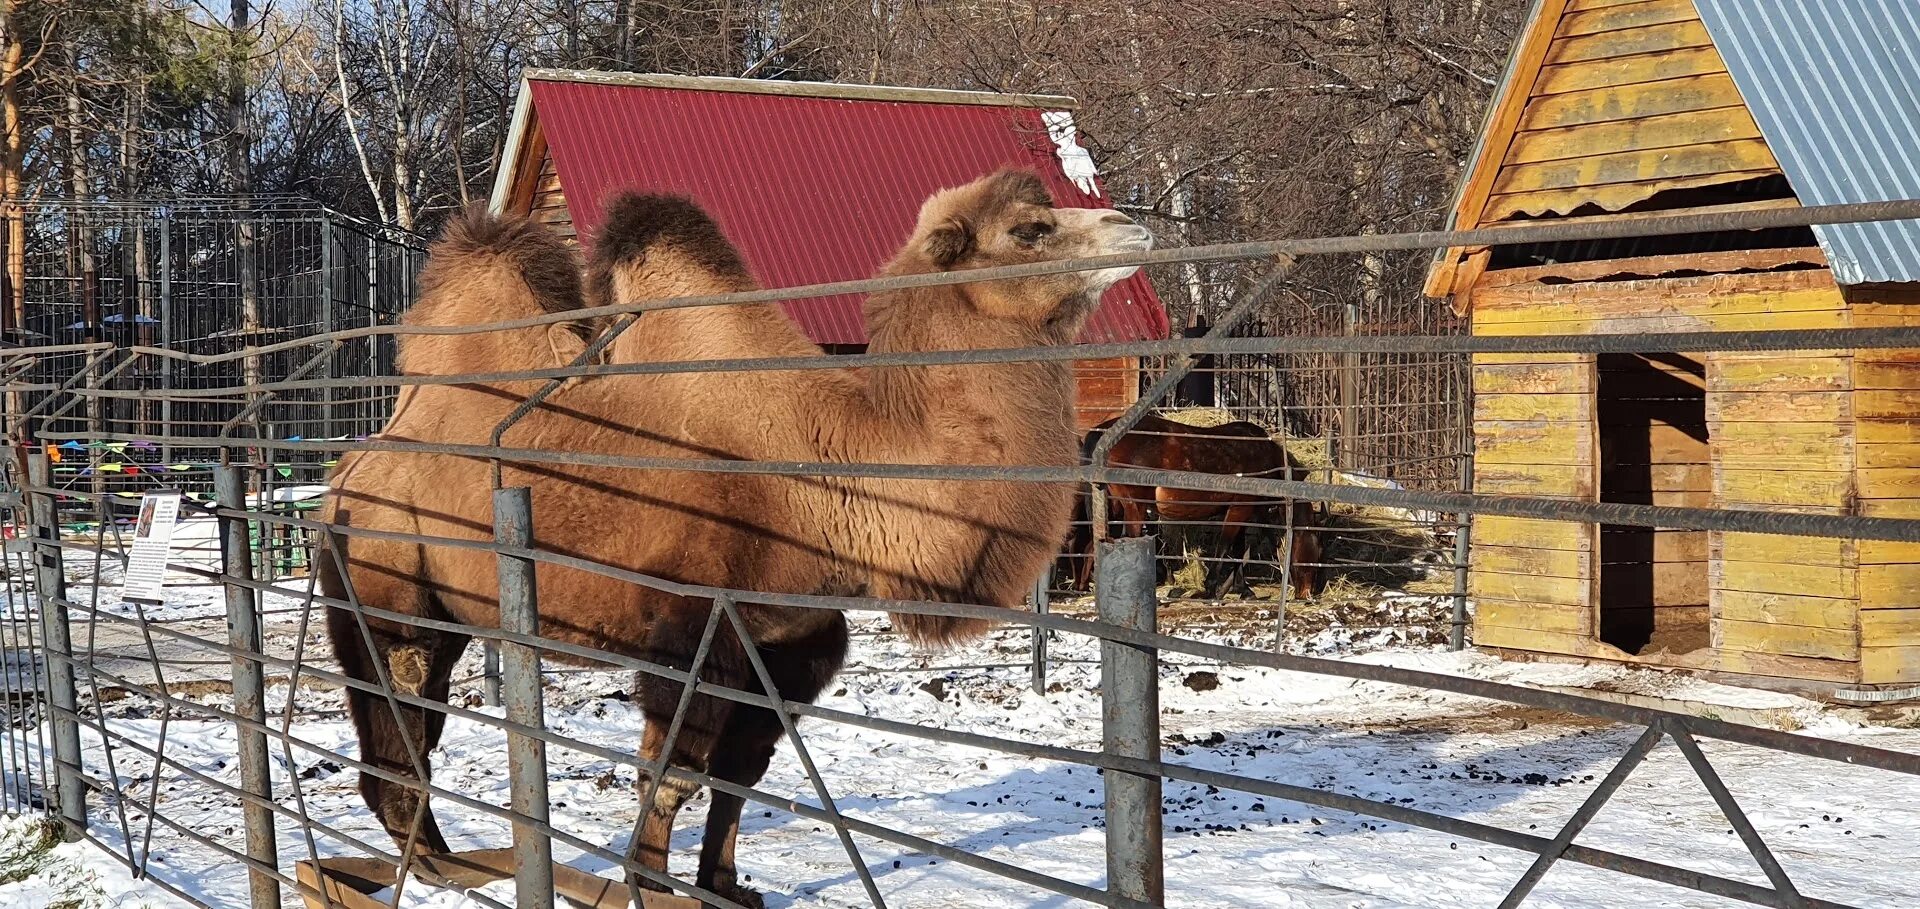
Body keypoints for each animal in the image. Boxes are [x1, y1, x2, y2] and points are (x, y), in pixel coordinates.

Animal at [320, 168, 1144, 899]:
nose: (1132, 225)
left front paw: (722, 884)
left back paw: (436, 856)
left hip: (448, 611)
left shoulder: (793, 640)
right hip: (386, 586)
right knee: (399, 719)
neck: (821, 469)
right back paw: (431, 865)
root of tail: (351, 469)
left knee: (414, 728)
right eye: (1029, 229)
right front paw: (651, 885)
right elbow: (672, 774)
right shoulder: (691, 630)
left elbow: (738, 775)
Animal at [1067, 413, 1320, 599]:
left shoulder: (1237, 511)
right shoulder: (1240, 509)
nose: (1307, 593)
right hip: (1134, 507)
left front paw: (1243, 589)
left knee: (1089, 544)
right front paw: (1210, 588)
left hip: (1114, 507)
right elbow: (1225, 546)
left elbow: (1238, 550)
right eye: (1317, 549)